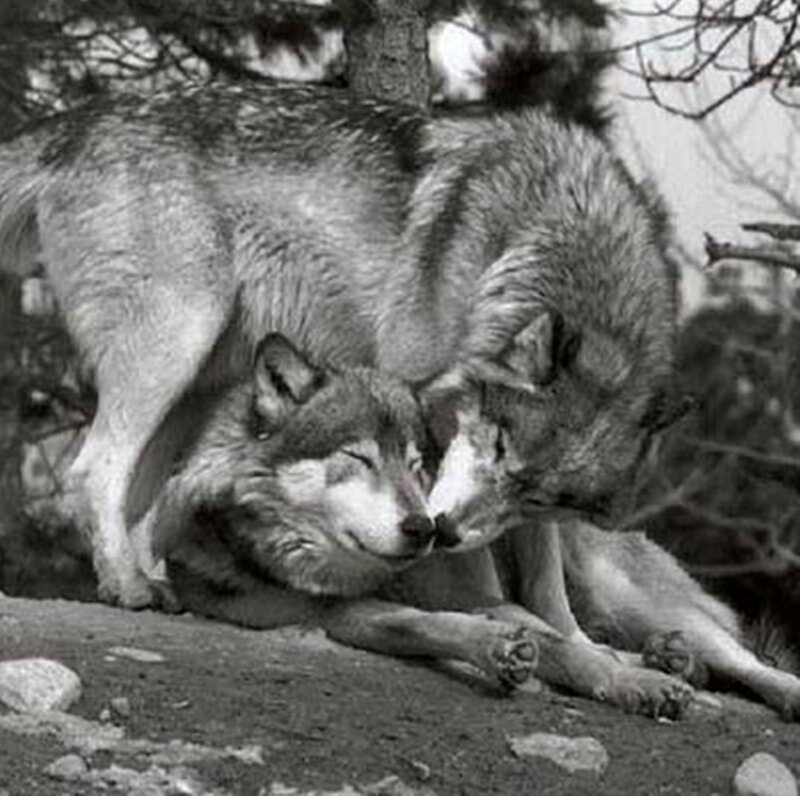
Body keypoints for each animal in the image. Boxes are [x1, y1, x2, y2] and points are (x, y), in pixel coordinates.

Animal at [0, 82, 677, 606]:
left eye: (536, 494)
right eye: (496, 444)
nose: (445, 530)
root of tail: (79, 121)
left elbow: (547, 583)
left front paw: (595, 663)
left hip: (198, 383)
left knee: (143, 493)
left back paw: (164, 582)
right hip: (176, 340)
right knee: (95, 468)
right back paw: (128, 585)